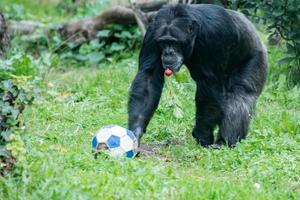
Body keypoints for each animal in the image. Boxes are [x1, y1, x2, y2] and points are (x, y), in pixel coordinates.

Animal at [127, 3, 268, 148]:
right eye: (163, 42)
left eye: (174, 42)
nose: (168, 52)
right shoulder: (152, 33)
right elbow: (149, 76)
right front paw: (135, 132)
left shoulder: (215, 35)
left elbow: (209, 84)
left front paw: (202, 134)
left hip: (256, 58)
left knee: (240, 94)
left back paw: (225, 141)